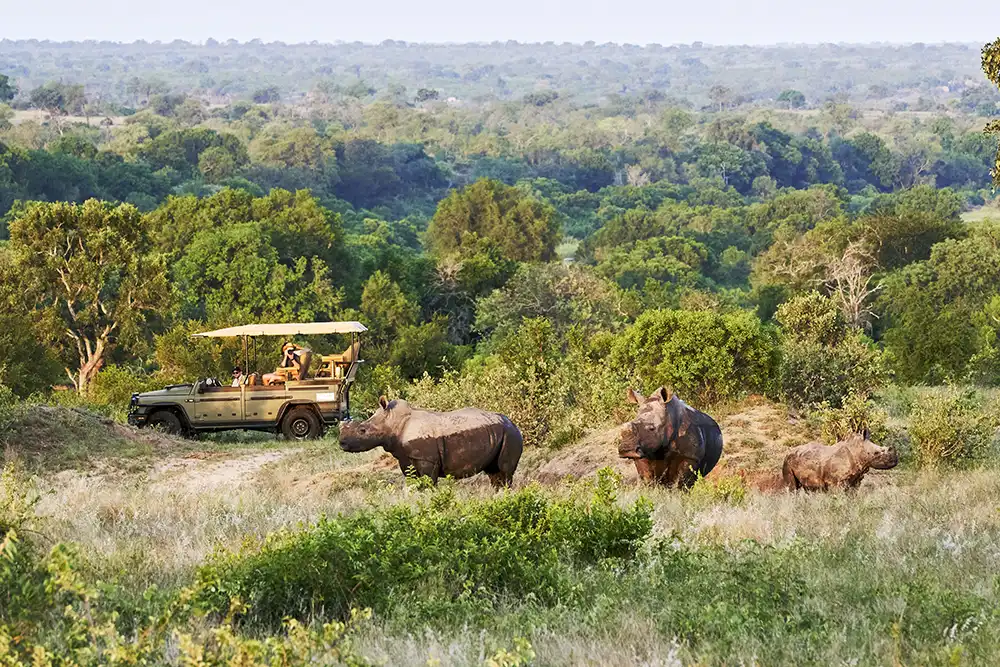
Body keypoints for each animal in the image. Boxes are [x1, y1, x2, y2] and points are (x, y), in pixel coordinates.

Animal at [340, 396, 524, 490]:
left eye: (362, 431)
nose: (341, 443)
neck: (392, 422)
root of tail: (513, 422)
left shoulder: (427, 459)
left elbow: (429, 482)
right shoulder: (405, 458)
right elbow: (413, 483)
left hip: (510, 434)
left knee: (504, 471)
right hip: (500, 433)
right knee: (493, 472)